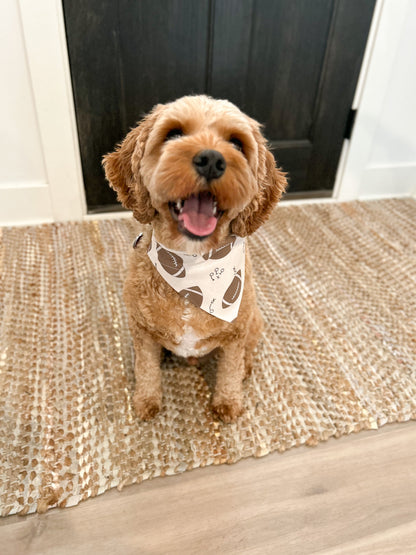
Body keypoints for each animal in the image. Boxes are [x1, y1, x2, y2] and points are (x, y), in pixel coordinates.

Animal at [102, 96, 288, 426]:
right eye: (173, 134)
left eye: (237, 143)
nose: (212, 159)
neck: (195, 263)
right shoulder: (141, 331)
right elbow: (146, 369)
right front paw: (145, 401)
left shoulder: (235, 334)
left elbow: (229, 370)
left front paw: (228, 404)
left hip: (254, 321)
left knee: (247, 353)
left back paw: (246, 367)